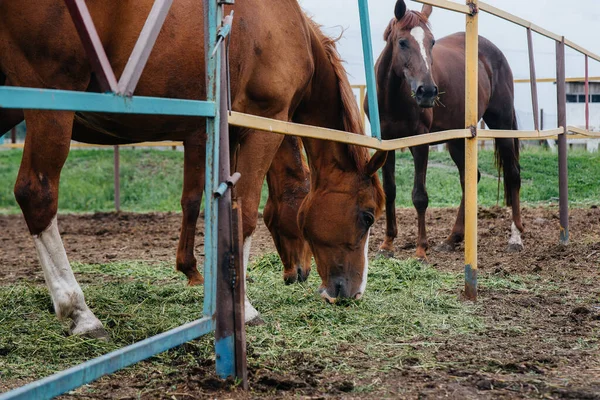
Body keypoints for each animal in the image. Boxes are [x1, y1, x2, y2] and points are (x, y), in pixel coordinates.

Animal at [0, 0, 384, 340]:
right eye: (367, 216)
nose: (353, 293)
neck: (289, 28)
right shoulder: (258, 125)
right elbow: (239, 212)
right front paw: (243, 308)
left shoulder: (227, 134)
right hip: (50, 104)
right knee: (36, 194)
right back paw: (80, 313)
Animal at [368, 0, 524, 260]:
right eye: (402, 42)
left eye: (432, 42)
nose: (428, 91)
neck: (392, 98)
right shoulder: (387, 143)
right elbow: (390, 190)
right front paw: (387, 244)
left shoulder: (420, 142)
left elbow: (419, 196)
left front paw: (421, 249)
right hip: (458, 141)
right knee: (469, 178)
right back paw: (453, 238)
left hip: (501, 124)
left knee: (513, 174)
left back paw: (515, 237)